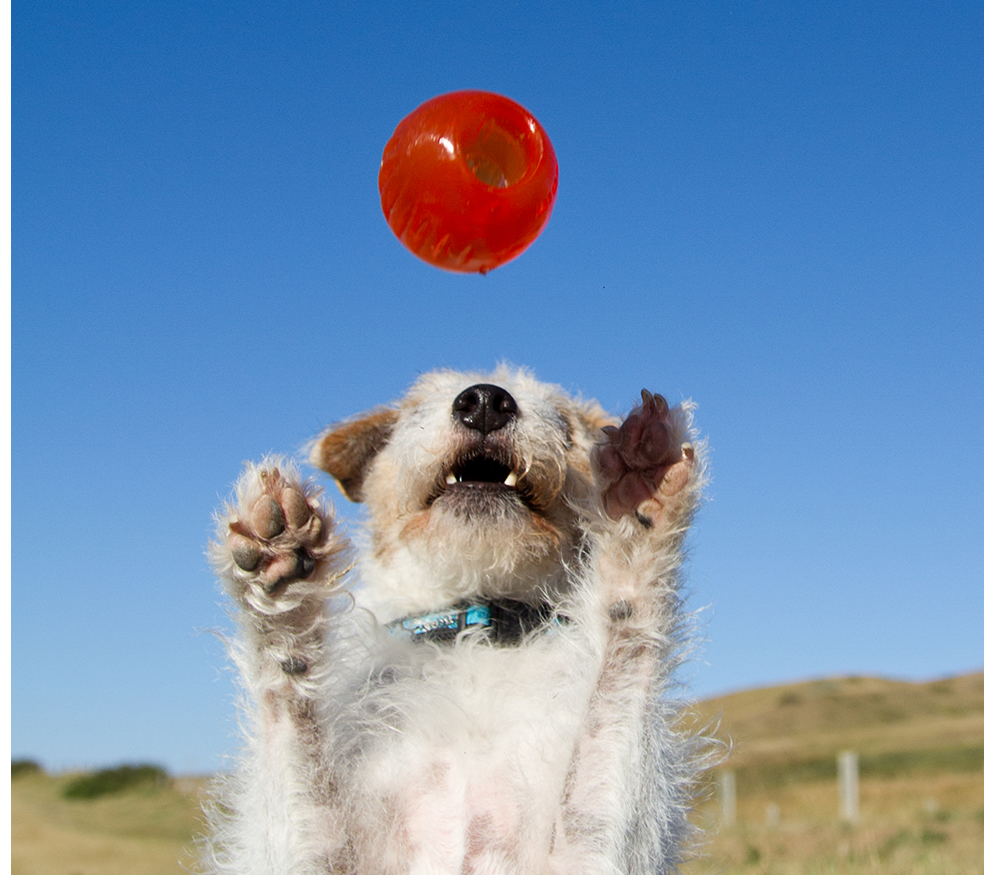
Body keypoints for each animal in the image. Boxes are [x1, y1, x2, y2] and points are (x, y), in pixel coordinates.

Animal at [201, 366, 712, 872]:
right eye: (415, 409)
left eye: (565, 421)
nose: (485, 401)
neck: (476, 625)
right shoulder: (316, 858)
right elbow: (287, 701)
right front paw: (282, 581)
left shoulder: (587, 855)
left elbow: (624, 640)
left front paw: (639, 501)